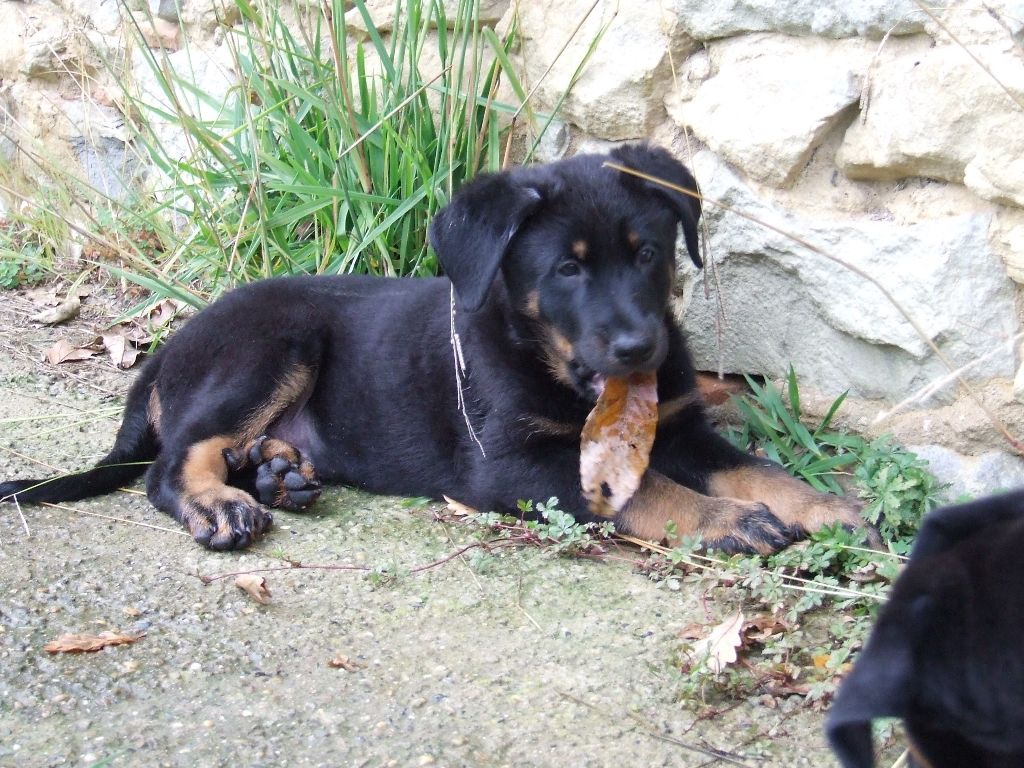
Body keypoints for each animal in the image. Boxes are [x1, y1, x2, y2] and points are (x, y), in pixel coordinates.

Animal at [0, 144, 864, 552]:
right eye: (567, 269)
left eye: (647, 253)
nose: (639, 346)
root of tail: (163, 350)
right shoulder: (509, 464)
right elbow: (639, 490)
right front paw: (725, 520)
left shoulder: (681, 425)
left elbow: (754, 467)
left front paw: (827, 504)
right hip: (273, 341)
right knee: (172, 461)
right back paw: (222, 501)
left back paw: (280, 473)